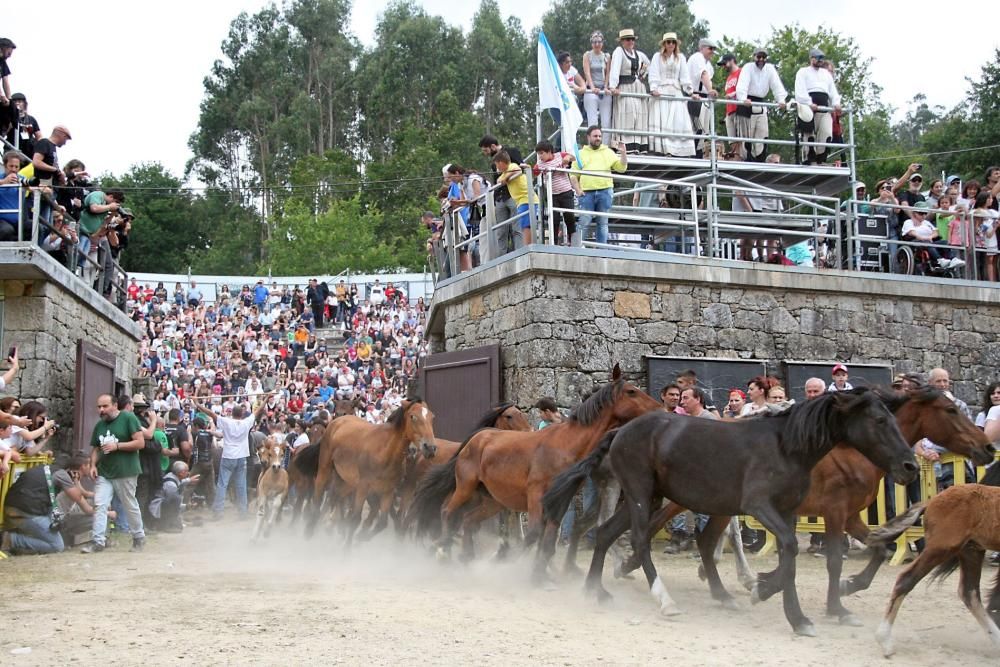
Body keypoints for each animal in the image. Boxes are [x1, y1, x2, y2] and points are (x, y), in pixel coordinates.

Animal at [408, 366, 664, 580]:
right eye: (631, 391)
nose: (660, 408)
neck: (565, 444)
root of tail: (477, 438)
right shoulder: (536, 494)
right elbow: (532, 535)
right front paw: (512, 565)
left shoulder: (561, 499)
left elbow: (549, 540)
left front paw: (540, 574)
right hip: (465, 487)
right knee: (447, 512)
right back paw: (442, 551)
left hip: (493, 500)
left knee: (469, 520)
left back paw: (465, 557)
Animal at [544, 388, 916, 640]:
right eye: (880, 420)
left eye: (894, 419)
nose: (910, 466)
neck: (786, 447)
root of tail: (619, 430)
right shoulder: (759, 505)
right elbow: (791, 548)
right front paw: (774, 599)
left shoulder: (789, 511)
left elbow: (789, 553)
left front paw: (780, 604)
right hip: (639, 492)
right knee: (638, 538)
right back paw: (664, 599)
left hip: (651, 497)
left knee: (607, 533)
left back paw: (595, 590)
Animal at [620, 386, 996, 628]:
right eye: (951, 411)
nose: (988, 448)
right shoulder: (834, 511)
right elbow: (833, 560)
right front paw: (834, 606)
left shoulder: (851, 515)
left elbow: (880, 548)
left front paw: (834, 588)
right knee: (655, 528)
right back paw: (628, 568)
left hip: (718, 504)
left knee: (705, 539)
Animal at [868, 462, 1000, 660]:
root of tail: (931, 501)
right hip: (941, 548)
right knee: (905, 580)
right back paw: (885, 640)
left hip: (971, 551)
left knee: (969, 592)